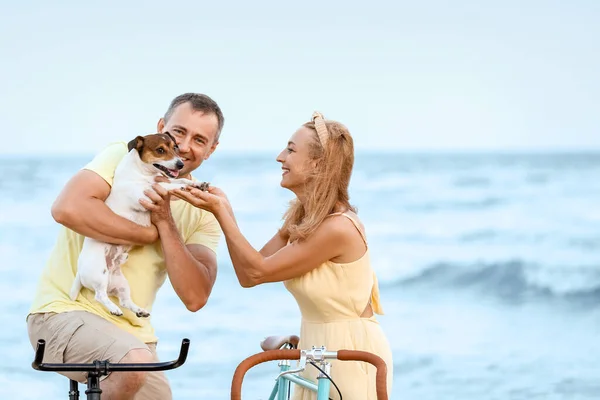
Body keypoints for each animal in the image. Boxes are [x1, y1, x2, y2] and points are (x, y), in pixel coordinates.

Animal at [71, 133, 209, 318]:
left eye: (175, 147)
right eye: (160, 150)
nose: (180, 164)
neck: (142, 173)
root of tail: (80, 272)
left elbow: (175, 179)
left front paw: (196, 184)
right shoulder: (144, 194)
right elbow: (163, 185)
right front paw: (182, 186)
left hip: (121, 283)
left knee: (124, 301)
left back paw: (139, 310)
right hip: (99, 273)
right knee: (100, 296)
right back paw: (114, 309)